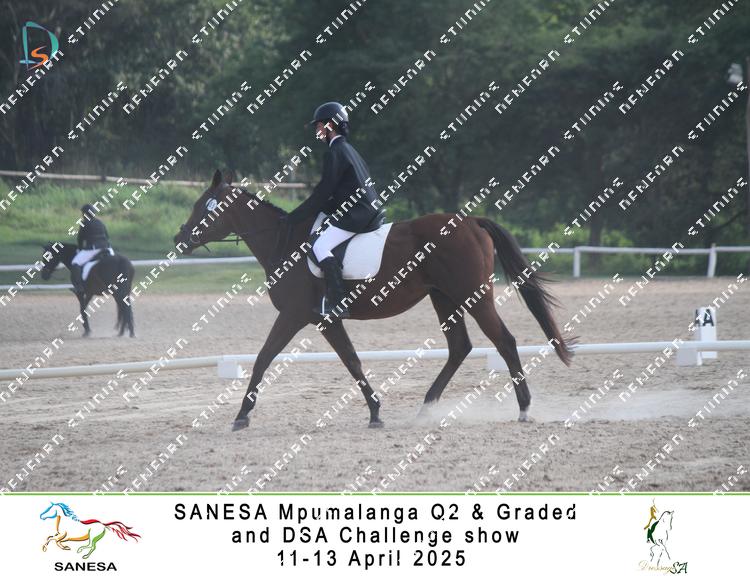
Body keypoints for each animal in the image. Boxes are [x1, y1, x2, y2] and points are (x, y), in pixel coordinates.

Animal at [174, 170, 574, 431]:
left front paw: (241, 416)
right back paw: (426, 408)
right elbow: (352, 361)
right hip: (444, 298)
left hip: (472, 296)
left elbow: (263, 358)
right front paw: (376, 412)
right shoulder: (326, 319)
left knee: (504, 341)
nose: (180, 239)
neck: (284, 243)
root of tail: (471, 221)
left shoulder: (295, 315)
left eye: (205, 207)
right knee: (460, 346)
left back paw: (524, 409)